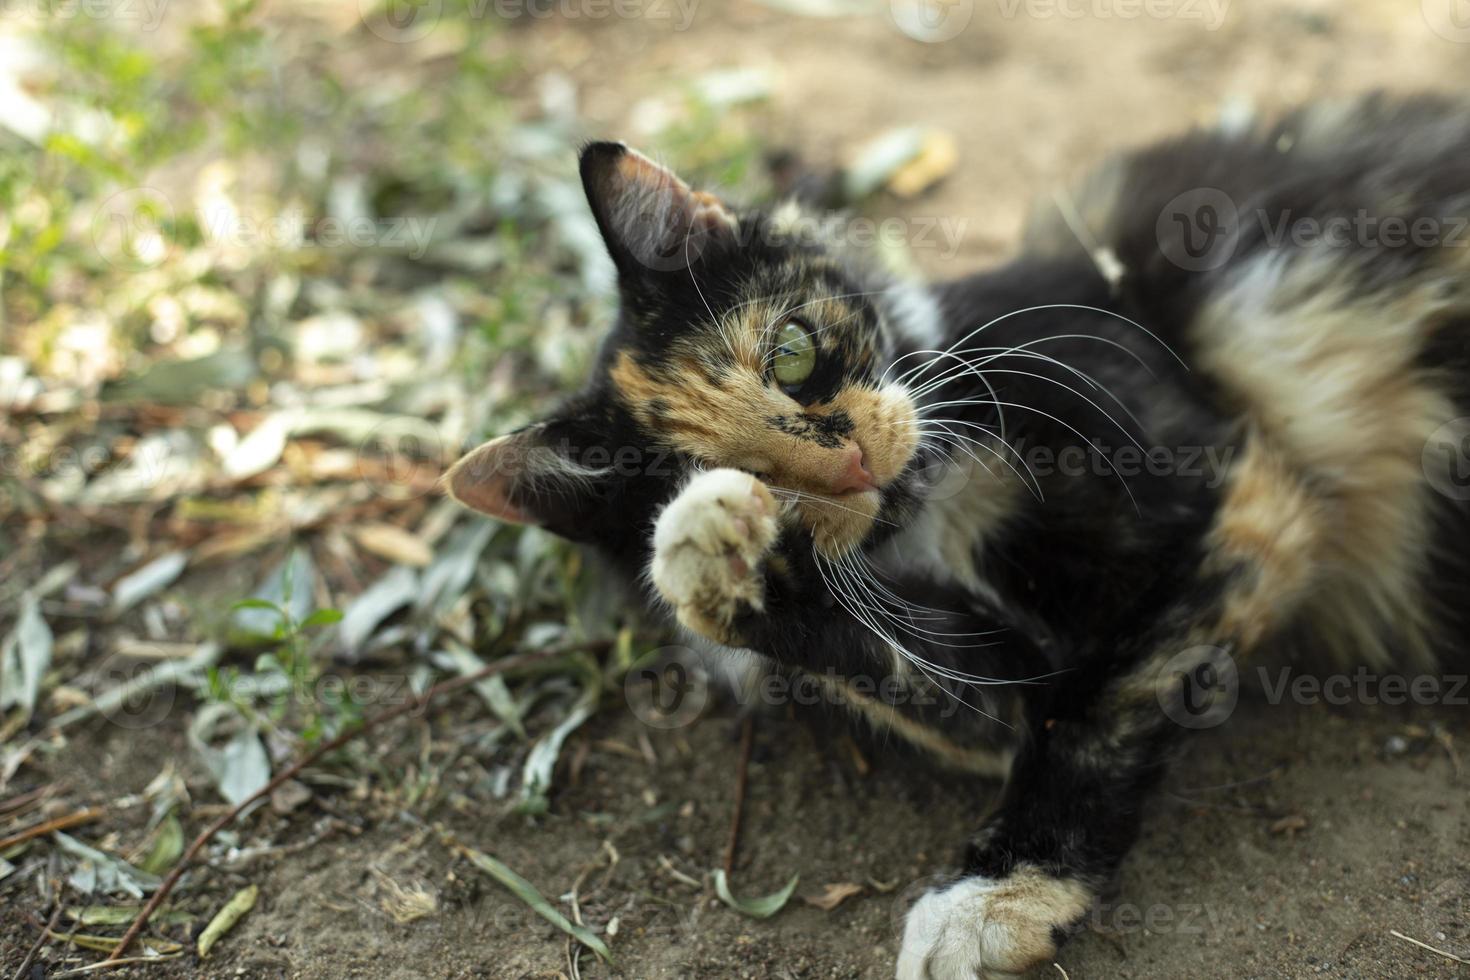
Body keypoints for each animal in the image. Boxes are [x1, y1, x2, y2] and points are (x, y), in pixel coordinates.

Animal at [446, 94, 1470, 980]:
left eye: (792, 354)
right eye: (720, 472)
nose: (851, 466)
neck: (942, 504)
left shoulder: (1237, 492)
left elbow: (1095, 708)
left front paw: (994, 896)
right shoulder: (991, 666)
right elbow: (938, 683)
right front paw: (715, 559)